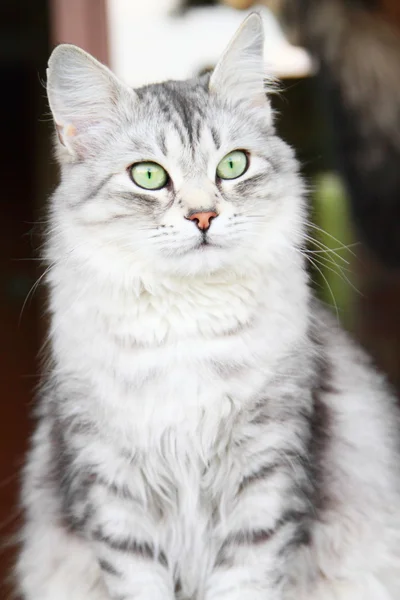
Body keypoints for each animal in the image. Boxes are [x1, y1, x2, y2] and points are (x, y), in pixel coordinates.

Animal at [14, 12, 400, 600]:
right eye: (149, 175)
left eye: (233, 165)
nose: (203, 217)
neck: (186, 325)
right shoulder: (112, 483)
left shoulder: (266, 472)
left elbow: (243, 579)